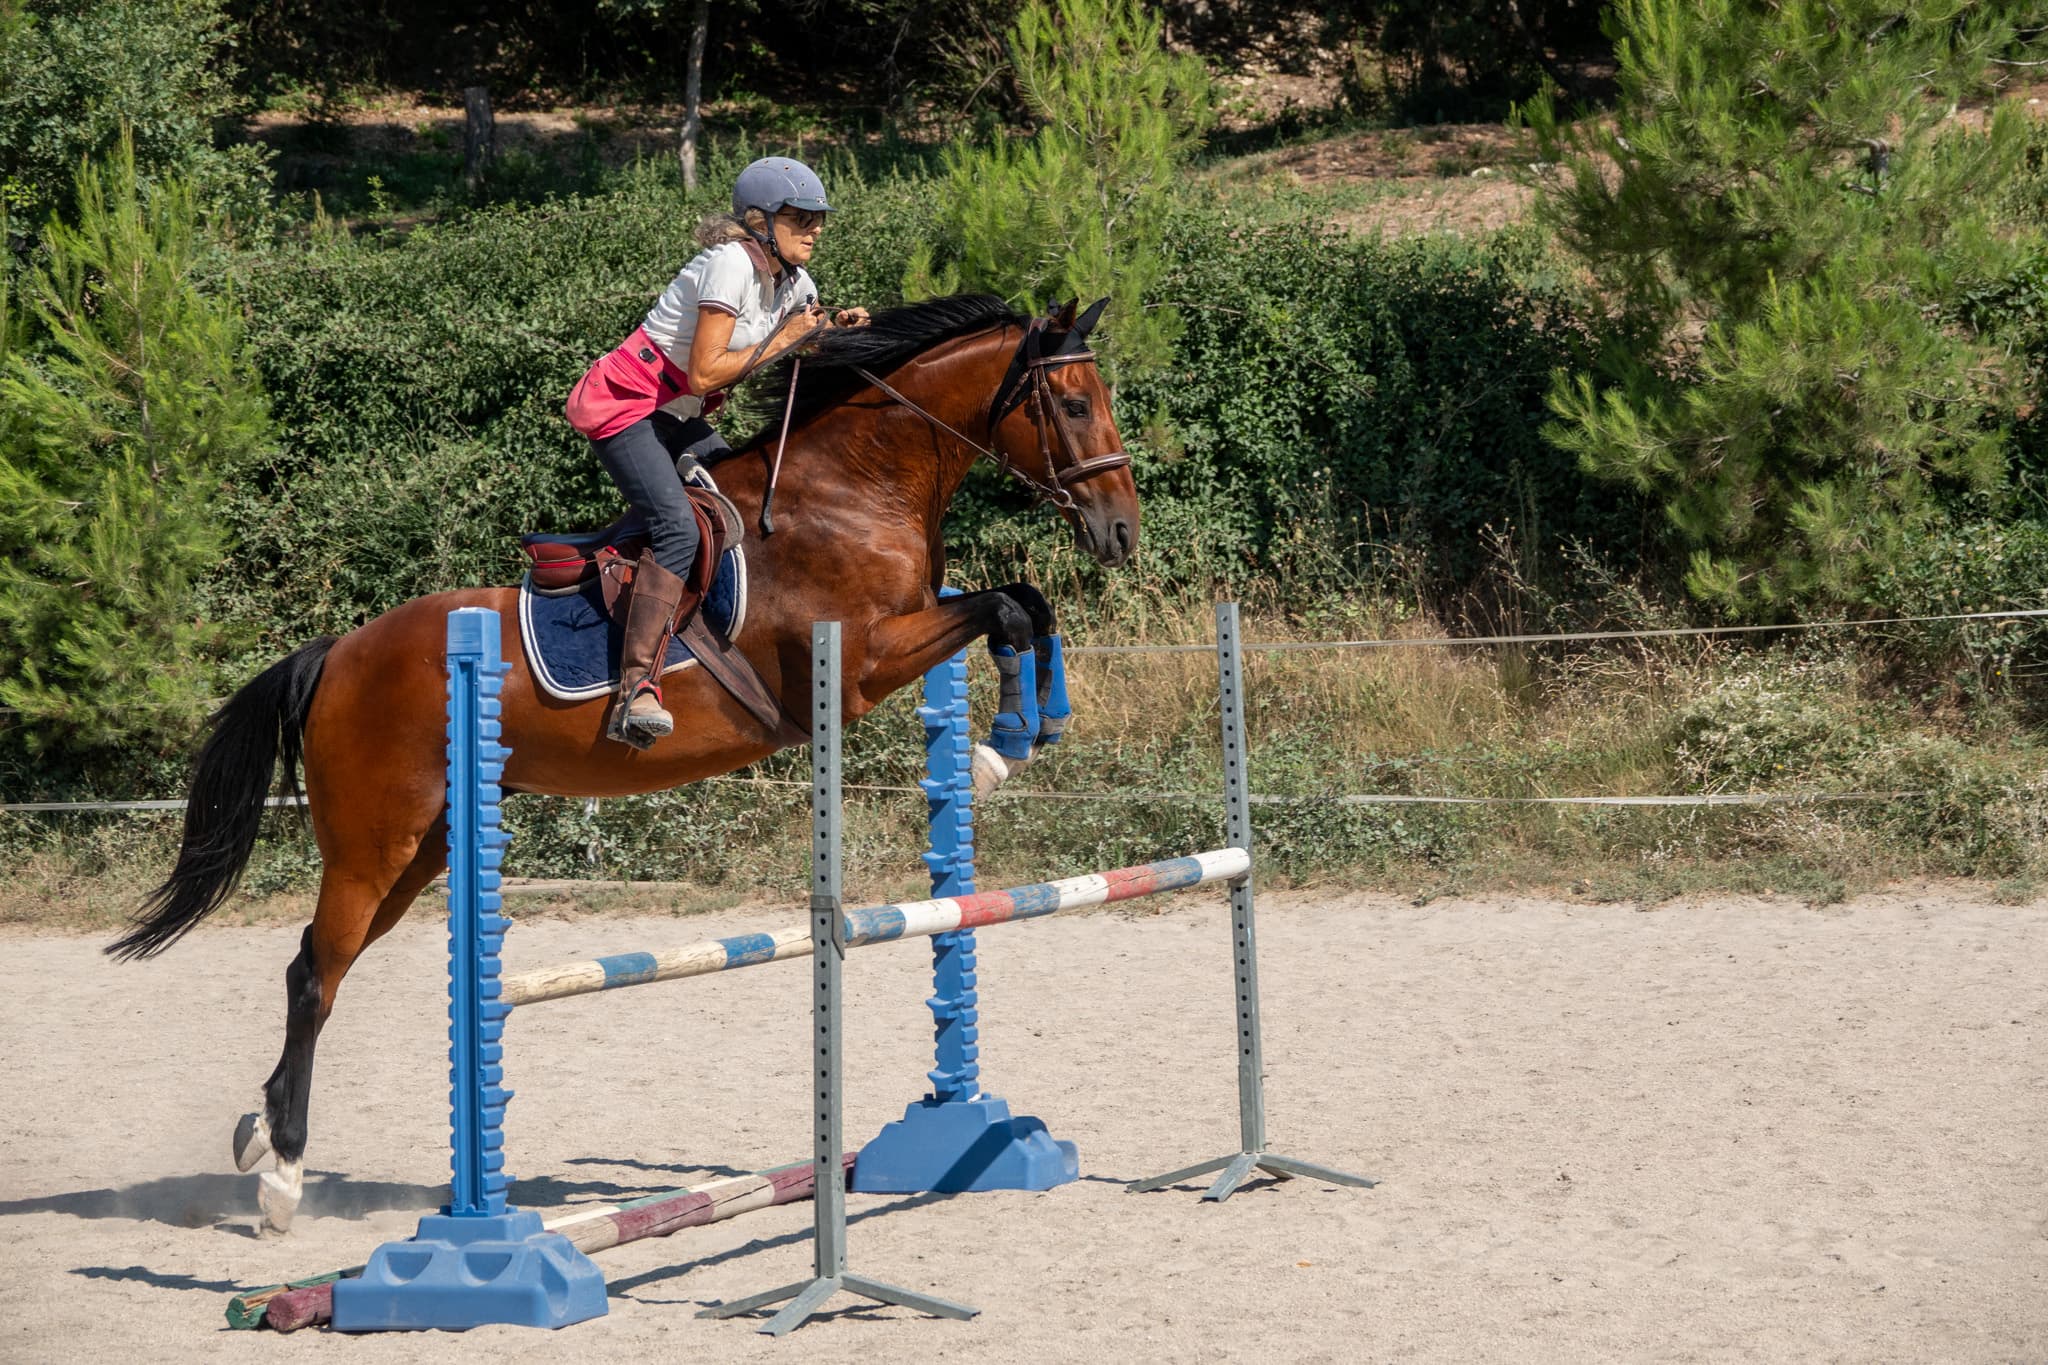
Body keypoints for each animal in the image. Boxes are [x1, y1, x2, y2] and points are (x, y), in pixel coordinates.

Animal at [108, 294, 1138, 1236]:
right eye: (1074, 403)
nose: (1122, 530)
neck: (853, 488)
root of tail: (335, 655)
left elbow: (1027, 602)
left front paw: (1035, 727)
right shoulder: (858, 666)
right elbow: (1004, 608)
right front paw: (999, 747)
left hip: (421, 851)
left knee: (316, 965)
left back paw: (258, 1135)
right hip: (373, 844)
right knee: (314, 978)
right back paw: (282, 1175)